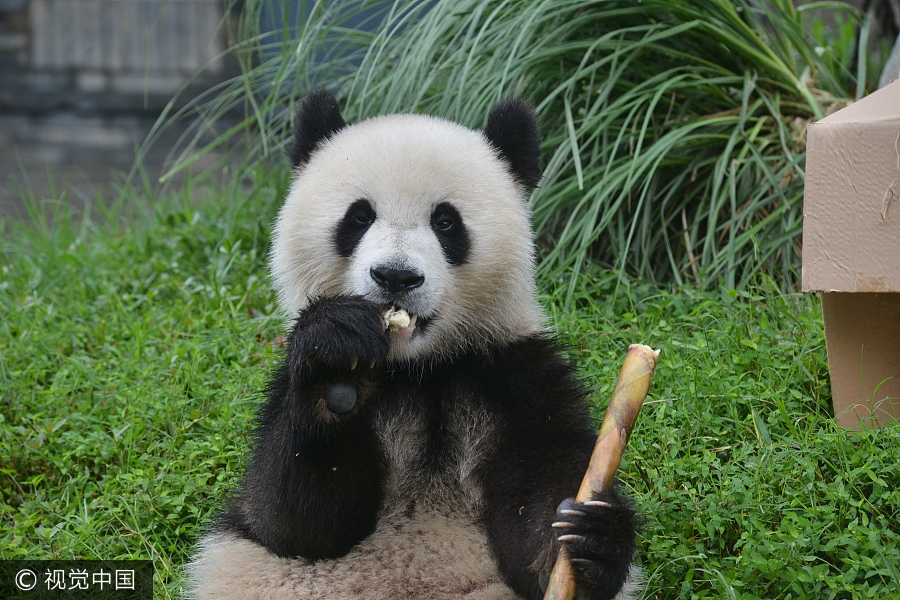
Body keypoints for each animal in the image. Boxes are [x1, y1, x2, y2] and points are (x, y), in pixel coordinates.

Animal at [186, 89, 641, 600]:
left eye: (445, 222)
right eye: (359, 216)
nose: (395, 277)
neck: (418, 367)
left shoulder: (513, 373)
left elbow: (540, 499)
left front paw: (590, 545)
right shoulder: (285, 387)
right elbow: (290, 524)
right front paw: (337, 366)